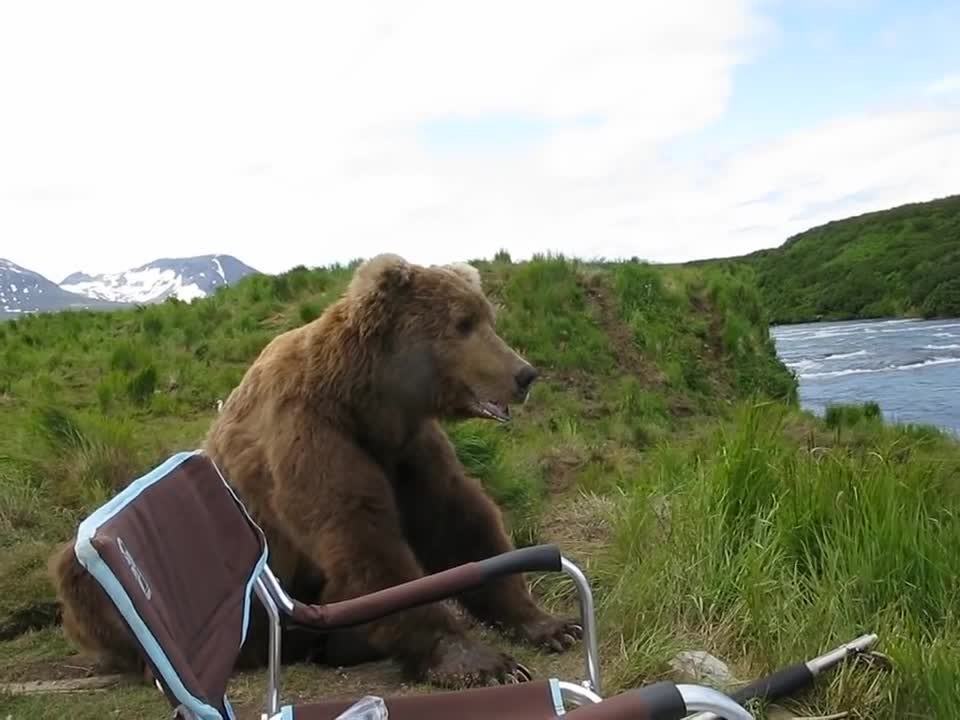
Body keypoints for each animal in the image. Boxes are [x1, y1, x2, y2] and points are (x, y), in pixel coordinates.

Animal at [50, 253, 576, 688]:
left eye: (488, 318)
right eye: (462, 323)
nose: (524, 374)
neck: (366, 401)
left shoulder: (406, 449)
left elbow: (458, 519)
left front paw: (550, 624)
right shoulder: (309, 434)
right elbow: (361, 537)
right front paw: (479, 661)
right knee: (80, 577)